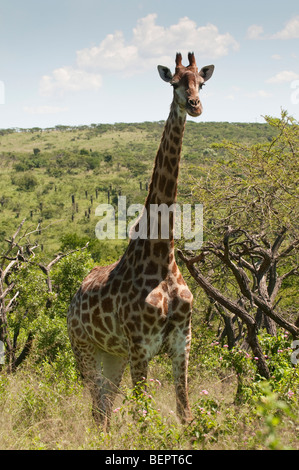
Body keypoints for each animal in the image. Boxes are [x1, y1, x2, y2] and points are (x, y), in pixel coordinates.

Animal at [67, 53, 214, 432]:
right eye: (175, 83)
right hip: (83, 347)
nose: (195, 105)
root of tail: (72, 299)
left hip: (112, 355)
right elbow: (144, 419)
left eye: (201, 83)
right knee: (97, 408)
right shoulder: (140, 346)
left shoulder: (182, 342)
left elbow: (184, 413)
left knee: (103, 409)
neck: (162, 257)